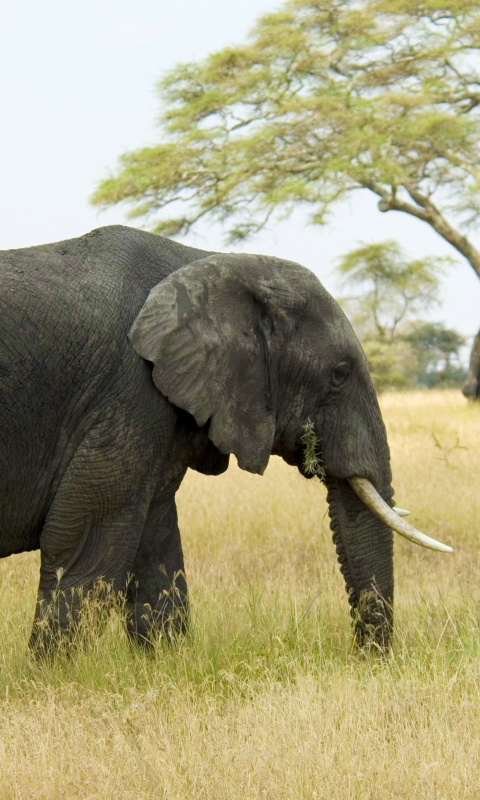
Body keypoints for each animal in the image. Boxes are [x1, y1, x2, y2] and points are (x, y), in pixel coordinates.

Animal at [0, 225, 451, 653]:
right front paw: (53, 671)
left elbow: (156, 547)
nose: (368, 659)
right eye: (339, 373)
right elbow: (87, 546)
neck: (212, 262)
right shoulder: (128, 392)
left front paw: (165, 661)